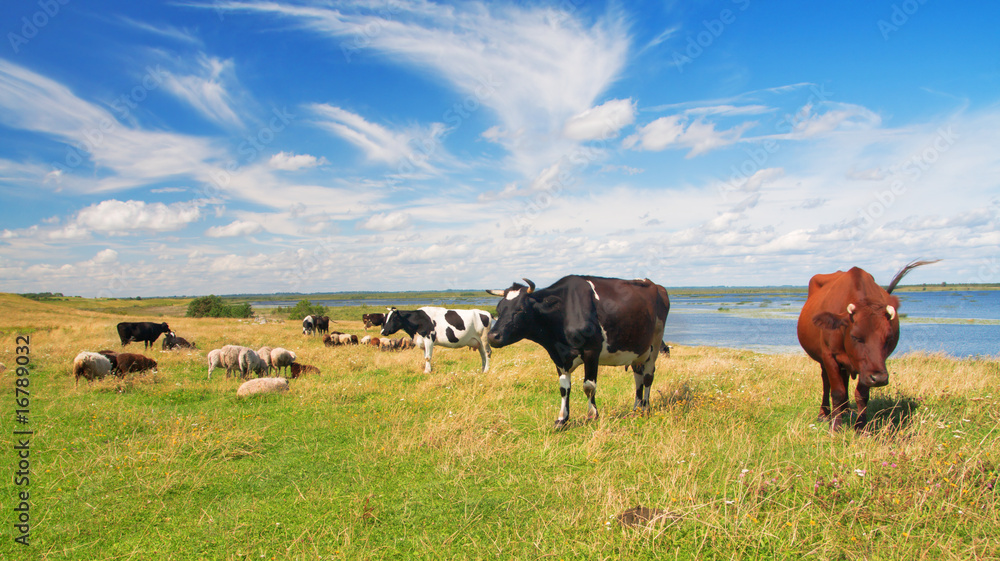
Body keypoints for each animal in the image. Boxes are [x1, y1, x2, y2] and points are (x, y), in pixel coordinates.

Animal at [486, 276, 668, 428]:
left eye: (520, 309)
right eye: (498, 309)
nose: (492, 336)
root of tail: (655, 285)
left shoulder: (592, 351)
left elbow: (589, 386)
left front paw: (592, 415)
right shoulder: (558, 357)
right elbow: (564, 388)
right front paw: (562, 420)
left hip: (656, 342)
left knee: (648, 377)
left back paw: (646, 408)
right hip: (638, 350)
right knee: (638, 377)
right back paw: (636, 408)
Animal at [796, 260, 936, 430]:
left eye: (888, 338)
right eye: (855, 336)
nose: (880, 378)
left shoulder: (869, 367)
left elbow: (862, 395)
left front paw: (861, 428)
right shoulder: (829, 356)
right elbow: (837, 392)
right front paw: (835, 427)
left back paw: (846, 411)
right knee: (826, 382)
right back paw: (825, 414)